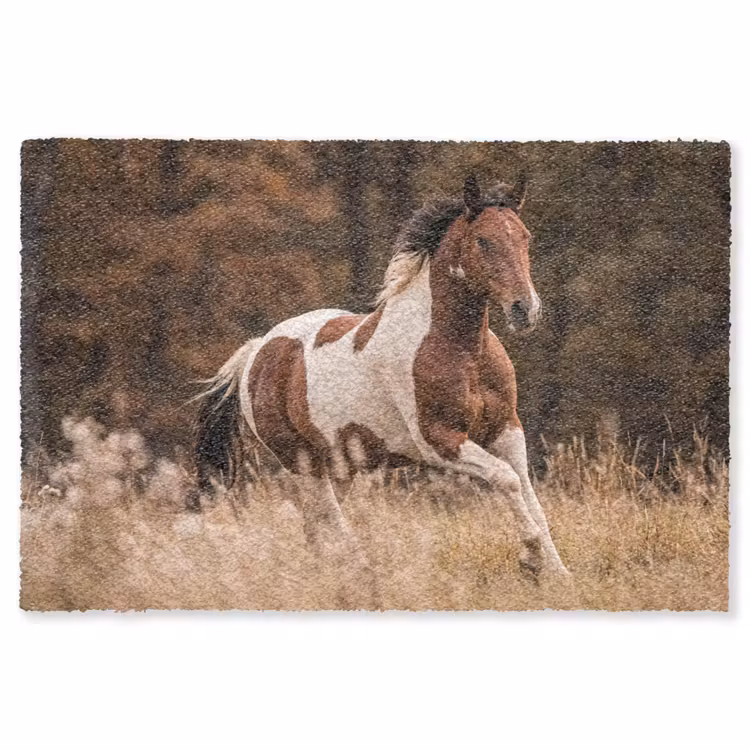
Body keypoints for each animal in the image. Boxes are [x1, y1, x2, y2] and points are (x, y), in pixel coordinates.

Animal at [193, 174, 569, 581]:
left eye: (525, 237)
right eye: (483, 240)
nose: (524, 309)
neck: (461, 349)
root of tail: (257, 351)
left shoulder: (506, 430)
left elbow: (530, 495)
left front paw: (559, 573)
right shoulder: (438, 440)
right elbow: (507, 480)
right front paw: (530, 557)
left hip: (338, 465)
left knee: (315, 526)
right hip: (301, 459)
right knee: (329, 518)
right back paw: (360, 568)